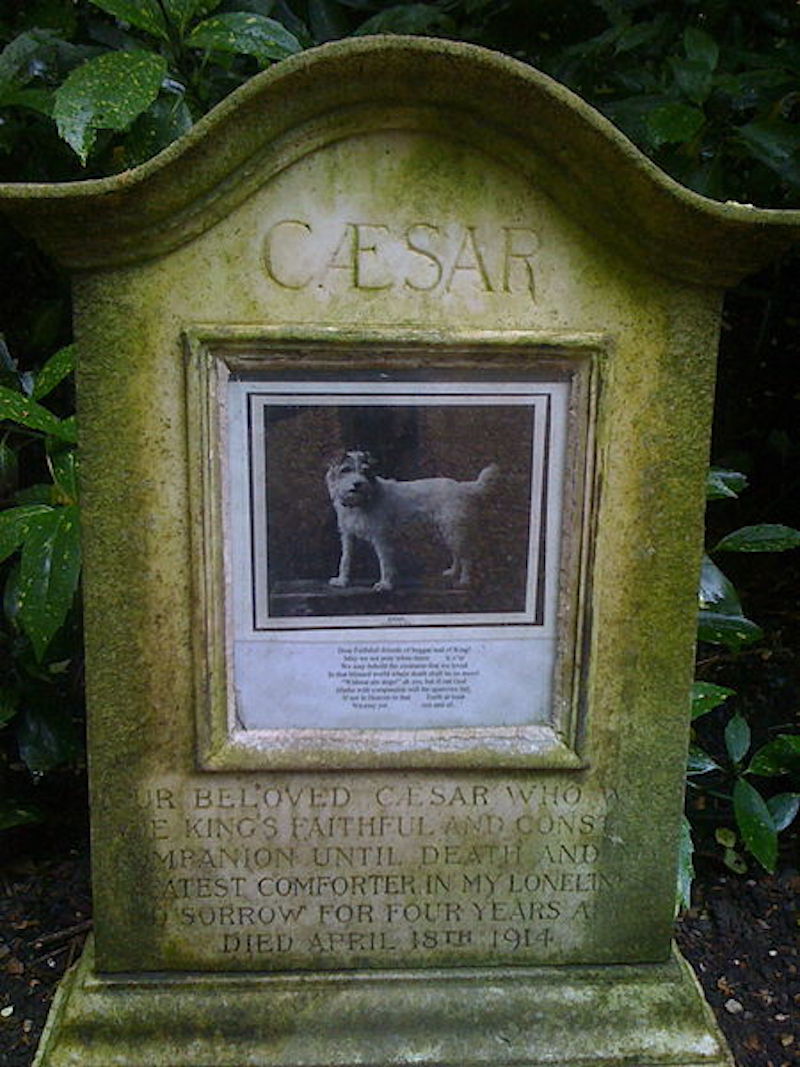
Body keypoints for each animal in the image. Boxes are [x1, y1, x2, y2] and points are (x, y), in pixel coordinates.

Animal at [326, 448, 501, 593]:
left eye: (365, 471)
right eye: (346, 470)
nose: (357, 484)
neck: (358, 504)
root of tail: (463, 487)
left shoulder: (381, 538)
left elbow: (385, 562)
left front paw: (385, 584)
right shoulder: (347, 535)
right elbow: (345, 559)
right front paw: (342, 581)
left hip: (454, 531)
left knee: (466, 556)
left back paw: (465, 581)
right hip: (447, 532)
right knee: (457, 554)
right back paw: (452, 572)